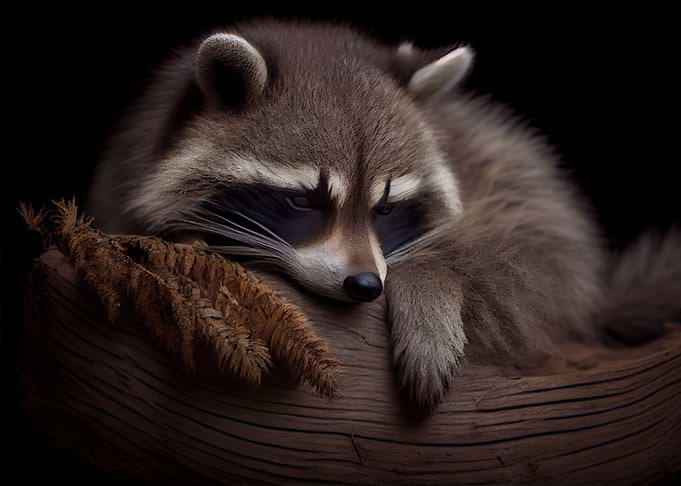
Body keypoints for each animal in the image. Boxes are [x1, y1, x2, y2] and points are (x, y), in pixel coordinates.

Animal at [88, 20, 681, 411]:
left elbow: (541, 251)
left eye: (387, 207)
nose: (366, 283)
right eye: (303, 201)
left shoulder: (503, 166)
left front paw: (428, 280)